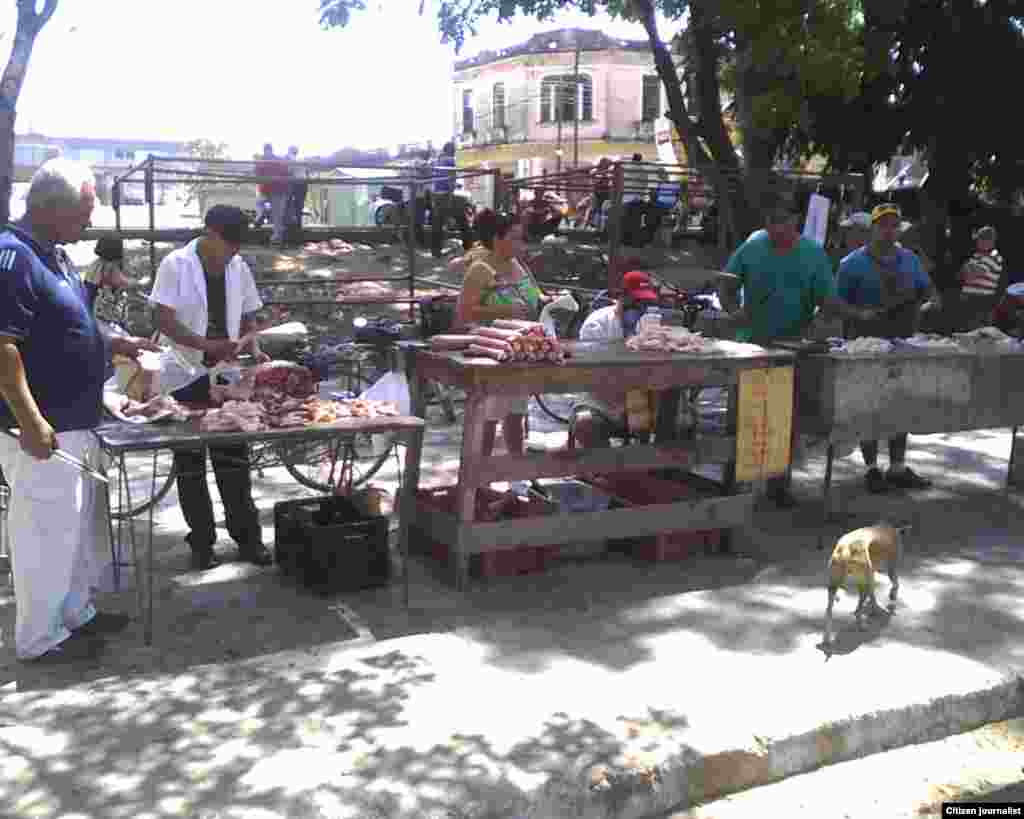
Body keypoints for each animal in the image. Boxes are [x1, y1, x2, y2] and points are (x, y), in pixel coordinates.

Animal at [819, 522, 909, 651]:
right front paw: (891, 597)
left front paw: (874, 608)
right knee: (858, 610)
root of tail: (846, 549)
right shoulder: (890, 567)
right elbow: (896, 584)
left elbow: (873, 595)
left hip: (834, 585)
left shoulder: (872, 576)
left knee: (829, 611)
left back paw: (826, 639)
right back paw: (862, 625)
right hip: (863, 582)